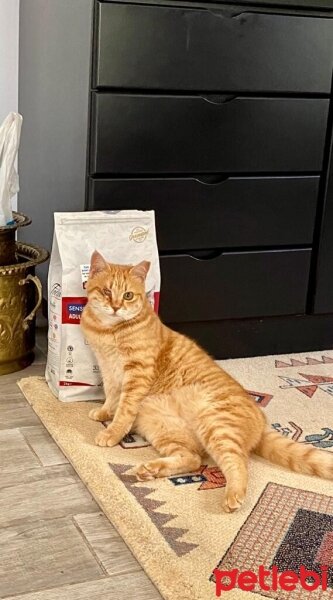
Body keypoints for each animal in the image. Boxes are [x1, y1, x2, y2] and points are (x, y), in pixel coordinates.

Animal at [80, 252, 332, 510]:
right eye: (107, 291)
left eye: (128, 295)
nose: (116, 307)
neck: (109, 332)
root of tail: (262, 421)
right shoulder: (107, 369)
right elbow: (112, 397)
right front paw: (104, 413)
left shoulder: (137, 374)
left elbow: (124, 410)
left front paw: (112, 432)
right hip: (165, 429)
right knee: (191, 459)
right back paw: (150, 470)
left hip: (216, 426)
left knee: (238, 462)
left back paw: (233, 495)